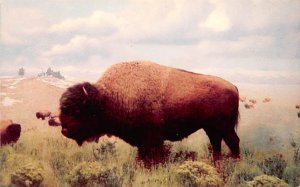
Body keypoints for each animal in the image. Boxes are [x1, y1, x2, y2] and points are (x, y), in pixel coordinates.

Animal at [59, 61, 240, 164]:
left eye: (78, 110)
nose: (65, 130)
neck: (108, 97)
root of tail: (233, 86)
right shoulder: (143, 140)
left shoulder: (151, 137)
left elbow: (152, 157)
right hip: (211, 127)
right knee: (216, 144)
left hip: (223, 126)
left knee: (233, 141)